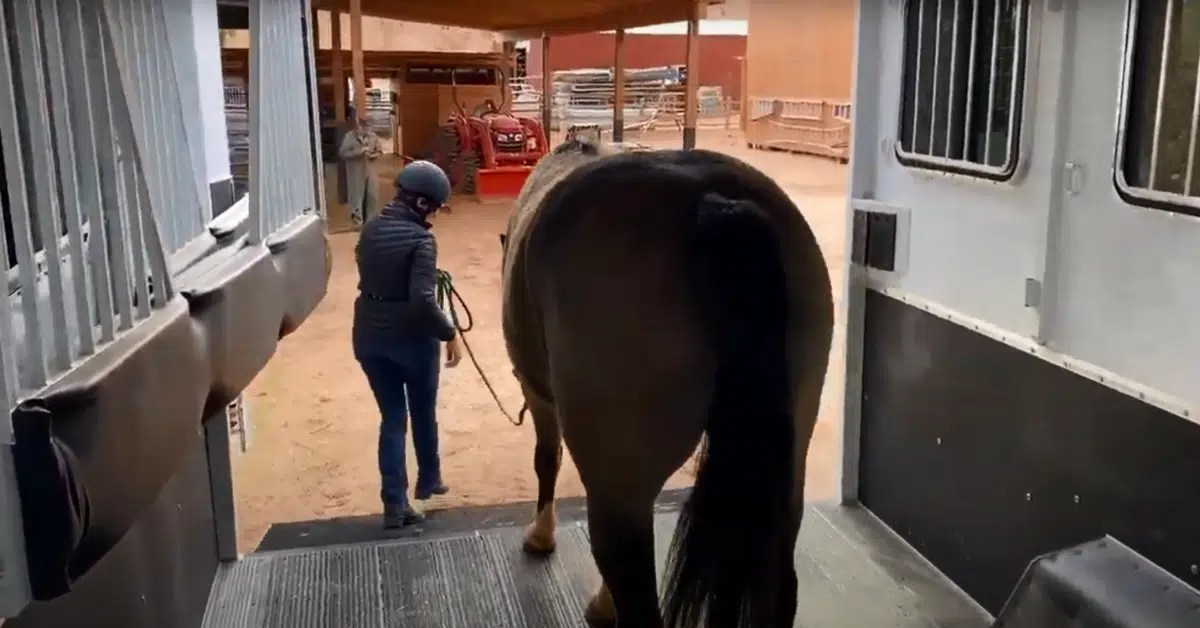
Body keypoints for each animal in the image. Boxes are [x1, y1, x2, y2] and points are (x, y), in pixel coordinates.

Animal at [500, 138, 834, 627]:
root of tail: (713, 200)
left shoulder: (540, 397)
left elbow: (547, 460)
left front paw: (542, 538)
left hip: (622, 501)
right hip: (784, 479)